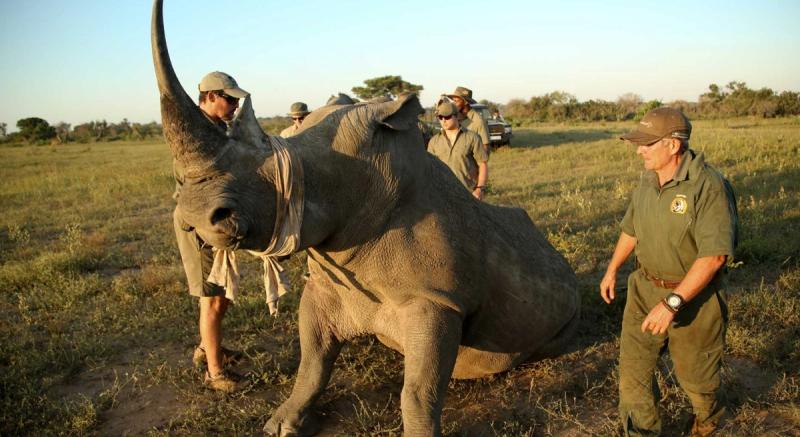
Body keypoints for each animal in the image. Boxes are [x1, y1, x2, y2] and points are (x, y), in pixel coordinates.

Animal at [151, 1, 580, 435]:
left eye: (287, 168)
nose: (194, 217)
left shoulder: (436, 301)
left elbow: (418, 391)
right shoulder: (327, 285)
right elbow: (313, 362)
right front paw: (280, 425)